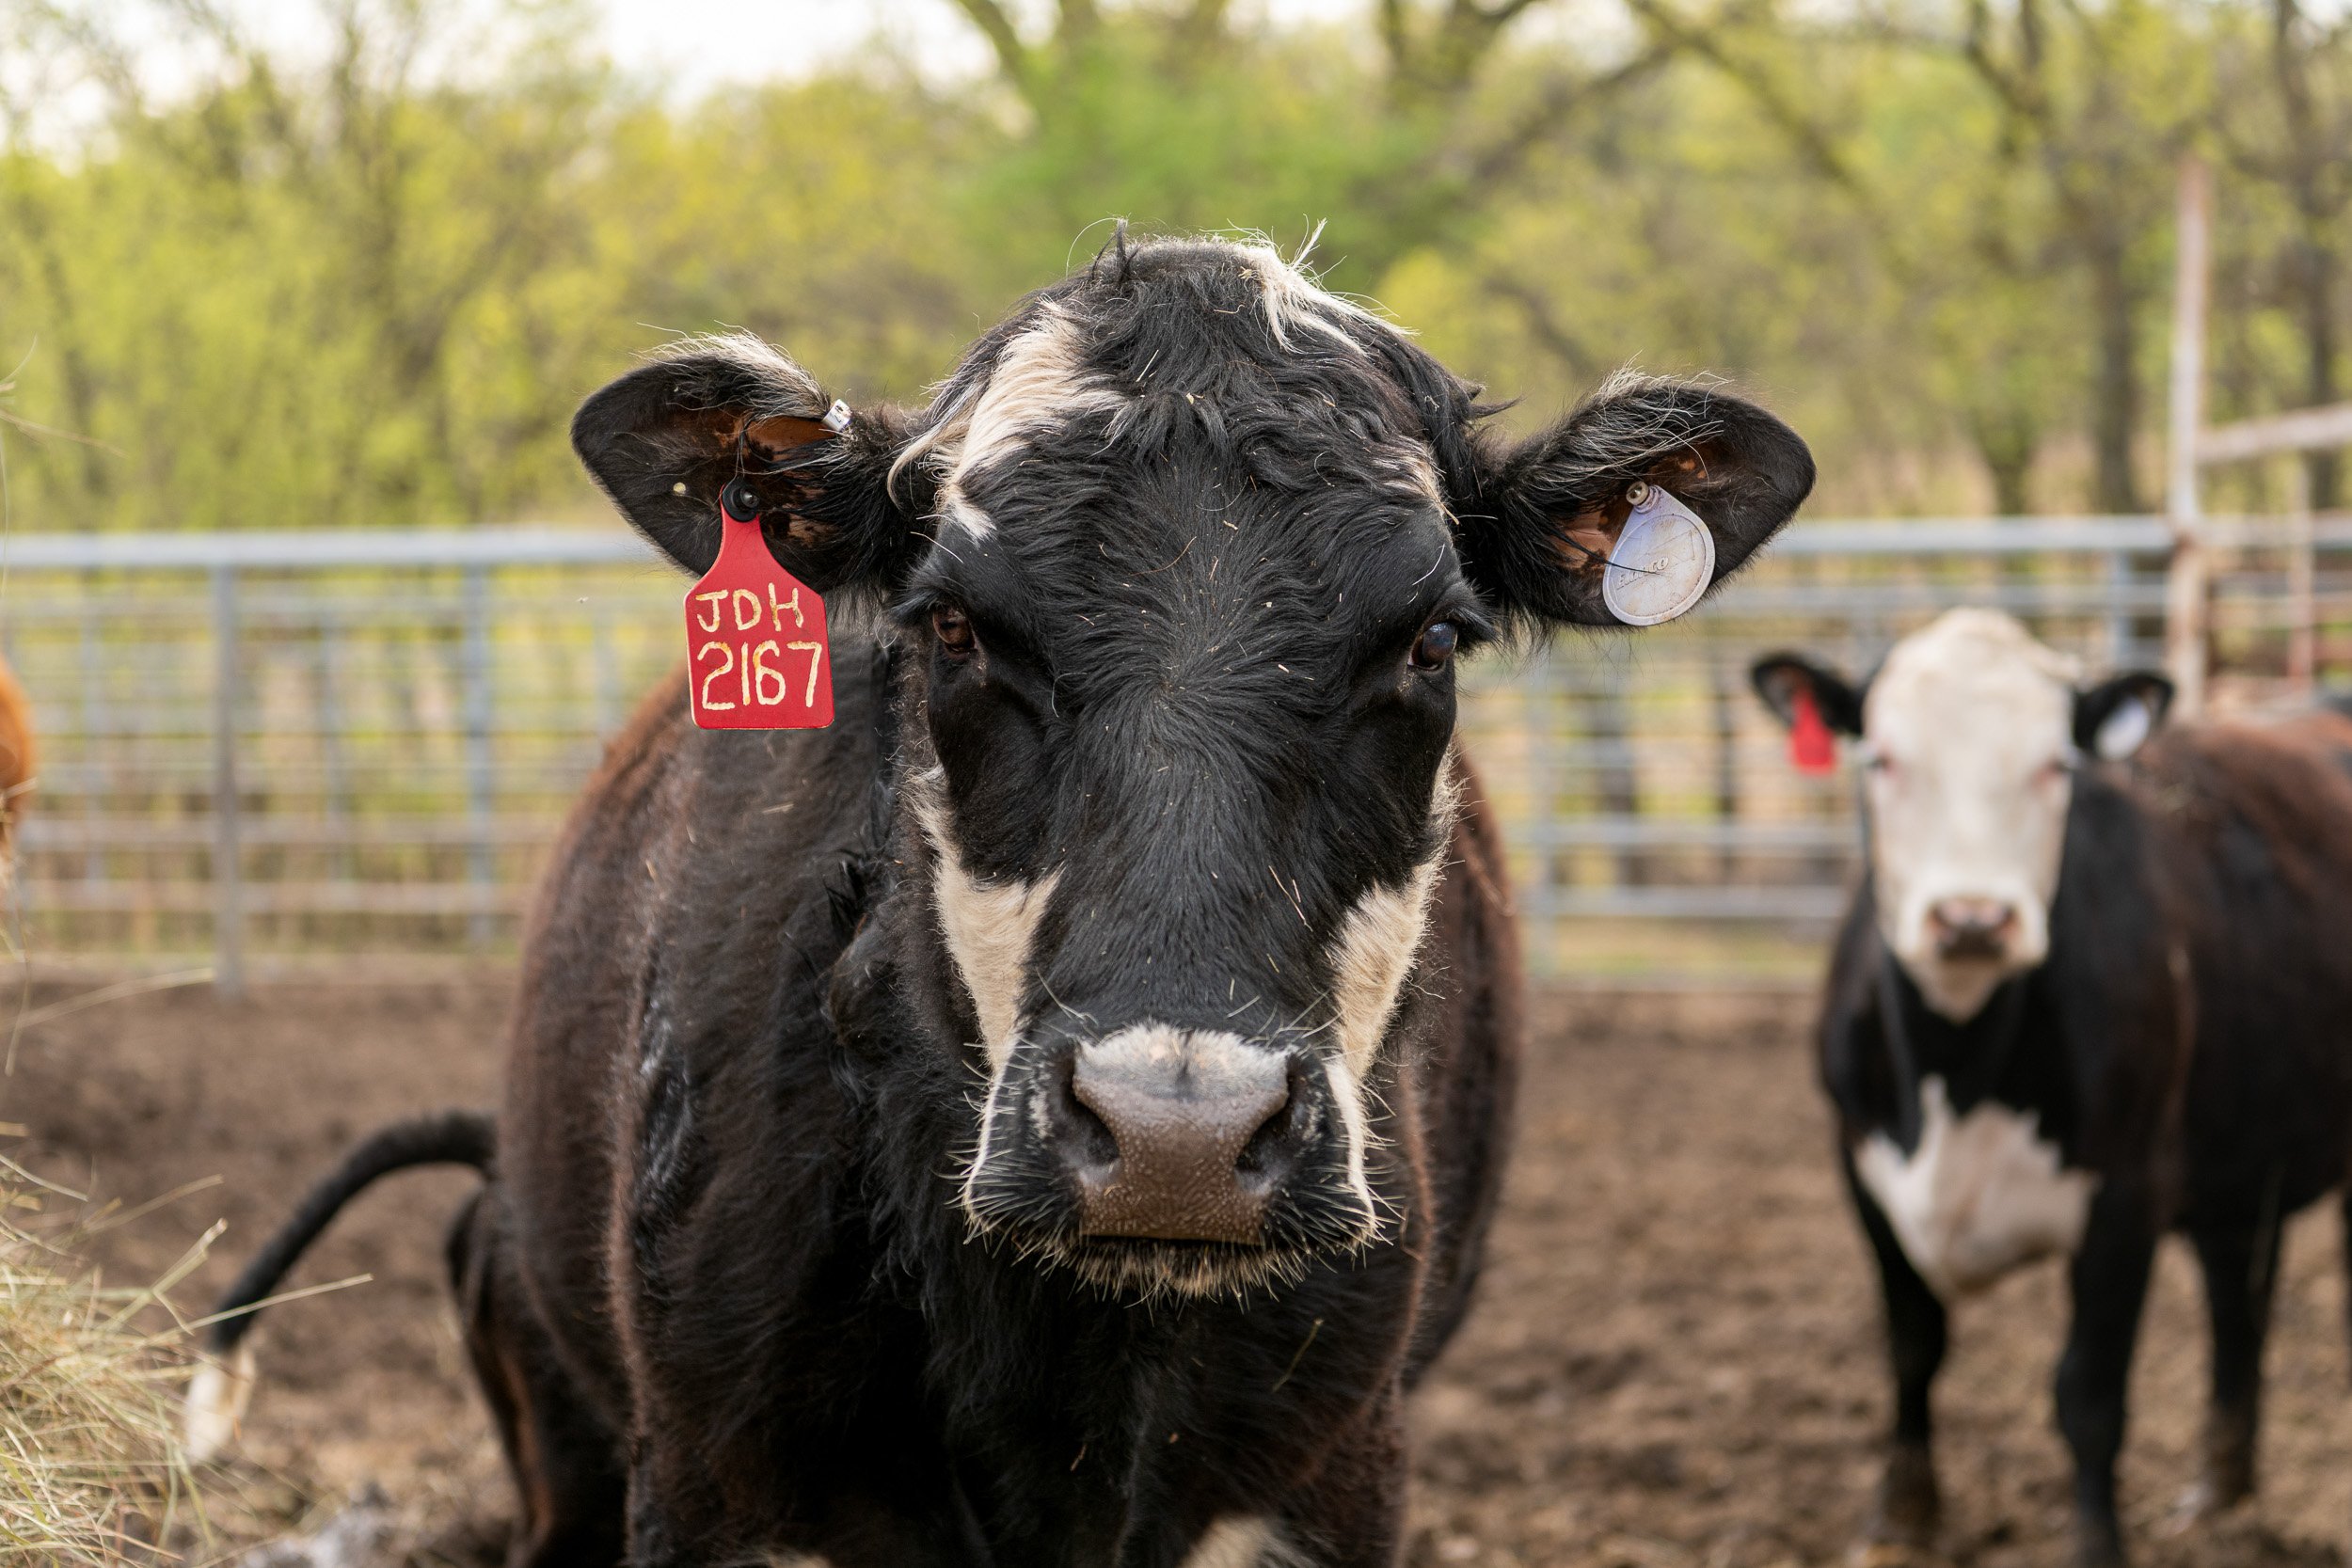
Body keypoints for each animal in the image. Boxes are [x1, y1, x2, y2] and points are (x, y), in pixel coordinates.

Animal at [1751, 607, 2352, 1567]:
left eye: (2056, 765)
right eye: (1880, 757)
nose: (1971, 918)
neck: (1955, 1074)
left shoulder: (2127, 1195)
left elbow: (2089, 1393)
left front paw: (2097, 1544)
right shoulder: (1861, 1171)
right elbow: (1912, 1346)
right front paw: (1902, 1516)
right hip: (2235, 1139)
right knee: (2235, 1290)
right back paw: (2219, 1493)